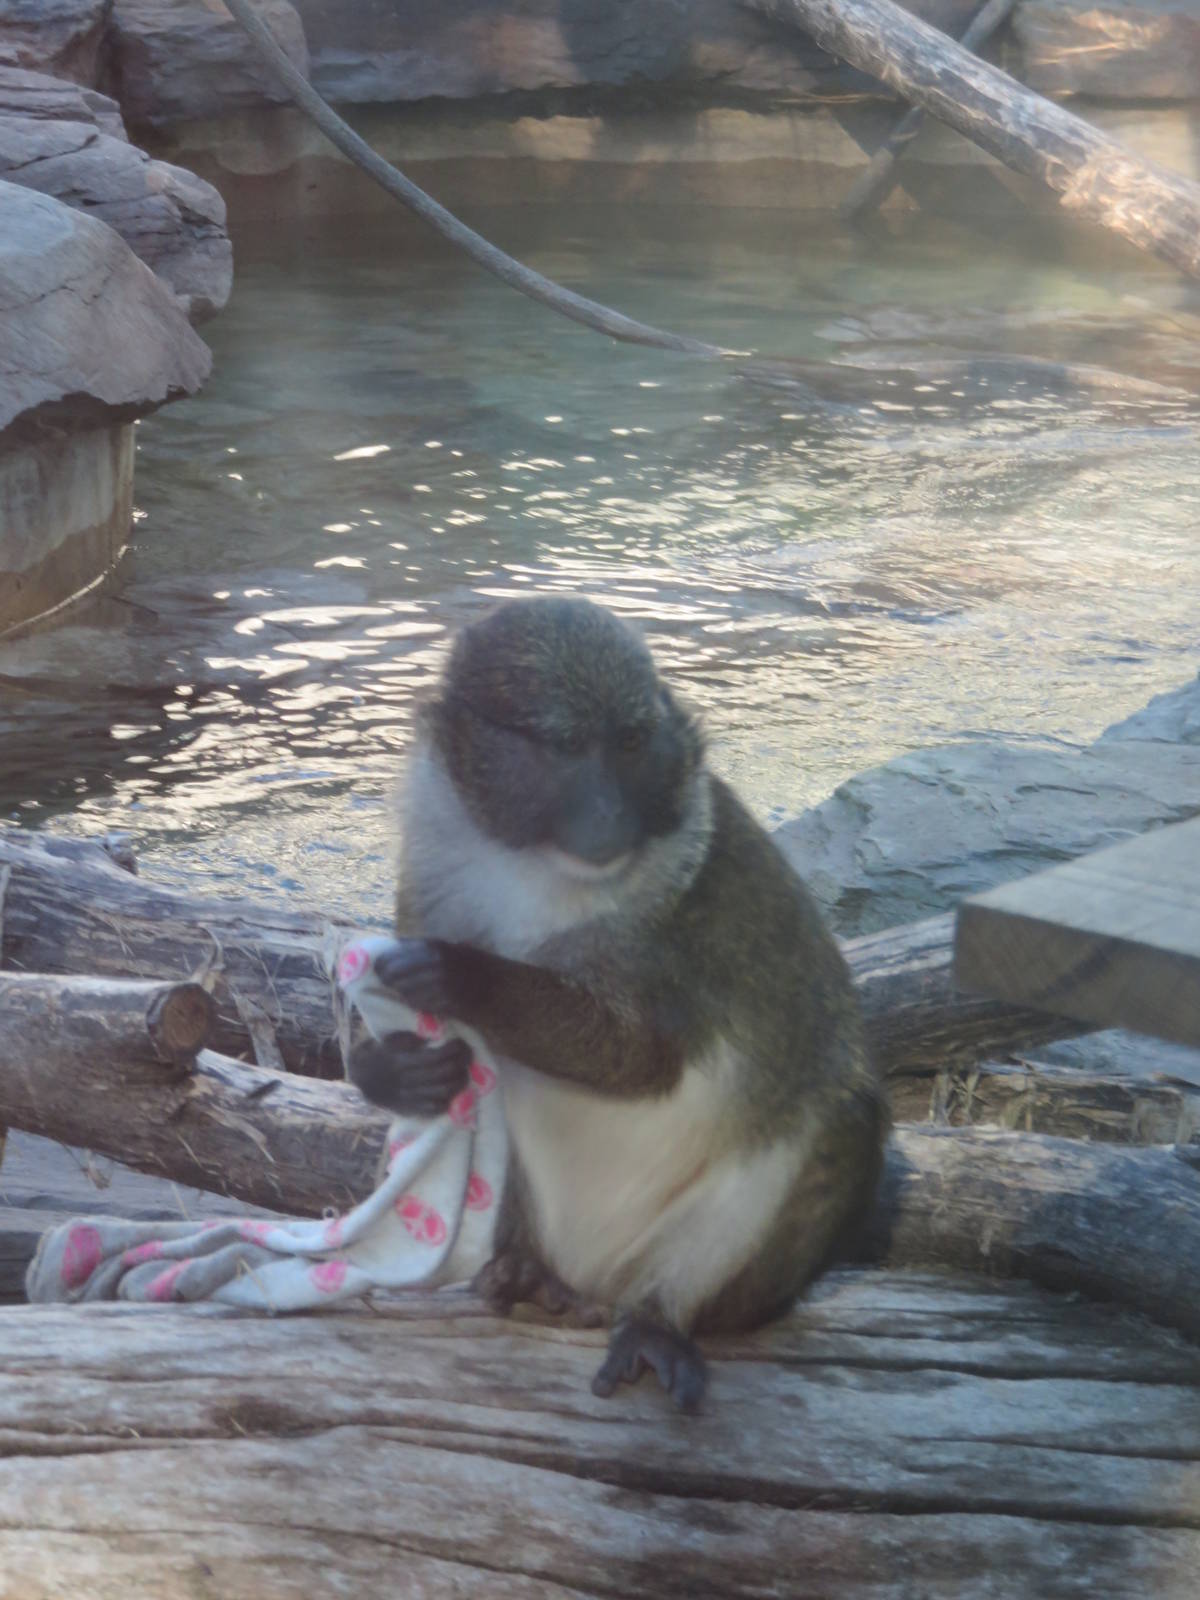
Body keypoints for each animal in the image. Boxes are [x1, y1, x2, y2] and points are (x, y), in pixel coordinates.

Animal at [347, 596, 887, 1411]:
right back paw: (526, 1273)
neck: (534, 868)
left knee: (840, 1117)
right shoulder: (433, 860)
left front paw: (462, 976)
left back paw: (658, 1321)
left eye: (630, 743)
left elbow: (642, 1057)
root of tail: (590, 1278)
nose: (608, 814)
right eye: (567, 748)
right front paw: (393, 1070)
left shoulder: (679, 912)